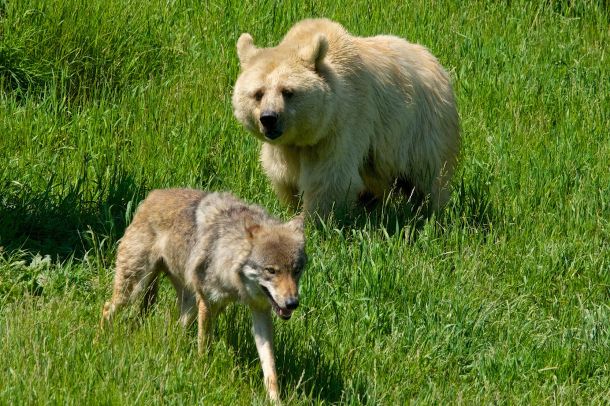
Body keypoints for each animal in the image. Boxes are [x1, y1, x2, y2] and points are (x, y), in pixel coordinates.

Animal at [102, 189, 308, 402]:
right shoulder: (208, 303)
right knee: (107, 308)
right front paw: (203, 375)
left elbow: (270, 366)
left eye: (296, 270)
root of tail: (152, 196)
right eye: (271, 271)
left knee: (176, 329)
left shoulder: (260, 311)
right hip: (134, 289)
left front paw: (275, 400)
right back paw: (101, 341)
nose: (292, 303)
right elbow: (204, 346)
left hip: (189, 304)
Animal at [230, 18, 458, 219]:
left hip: (420, 128)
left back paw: (429, 212)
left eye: (288, 91)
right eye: (258, 93)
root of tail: (436, 63)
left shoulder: (342, 126)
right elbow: (283, 175)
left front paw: (313, 219)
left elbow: (329, 178)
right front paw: (293, 208)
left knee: (428, 176)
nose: (269, 118)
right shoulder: (286, 146)